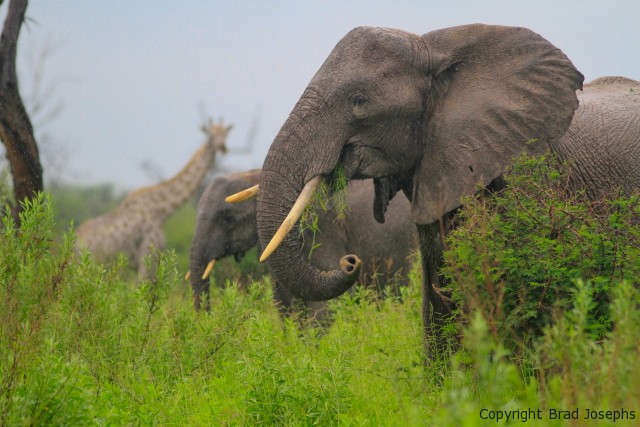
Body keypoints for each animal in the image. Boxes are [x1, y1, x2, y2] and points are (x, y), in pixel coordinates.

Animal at [77, 118, 232, 276]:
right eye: (211, 135)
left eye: (225, 134)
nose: (223, 147)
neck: (162, 211)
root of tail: (75, 239)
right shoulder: (147, 252)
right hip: (92, 259)